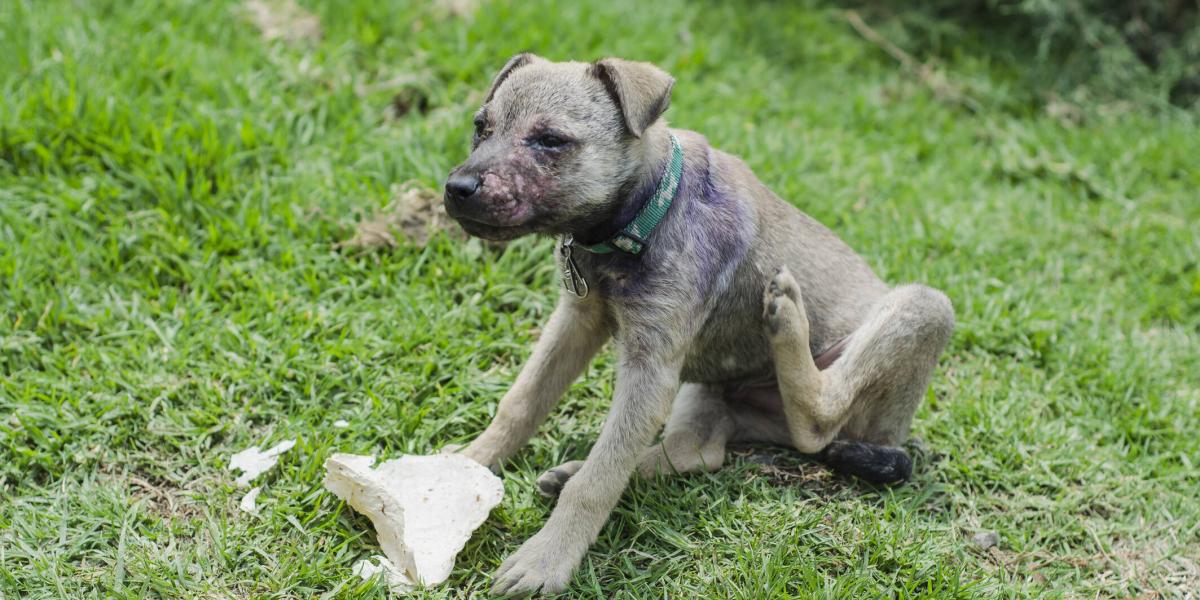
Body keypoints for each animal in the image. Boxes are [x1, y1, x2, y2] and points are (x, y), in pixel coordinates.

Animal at [441, 55, 955, 595]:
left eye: (550, 141)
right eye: (480, 127)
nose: (457, 190)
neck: (643, 215)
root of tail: (890, 441)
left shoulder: (650, 368)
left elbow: (597, 482)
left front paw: (546, 559)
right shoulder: (577, 322)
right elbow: (521, 403)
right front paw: (469, 462)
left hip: (924, 308)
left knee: (818, 421)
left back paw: (788, 317)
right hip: (705, 388)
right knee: (698, 452)